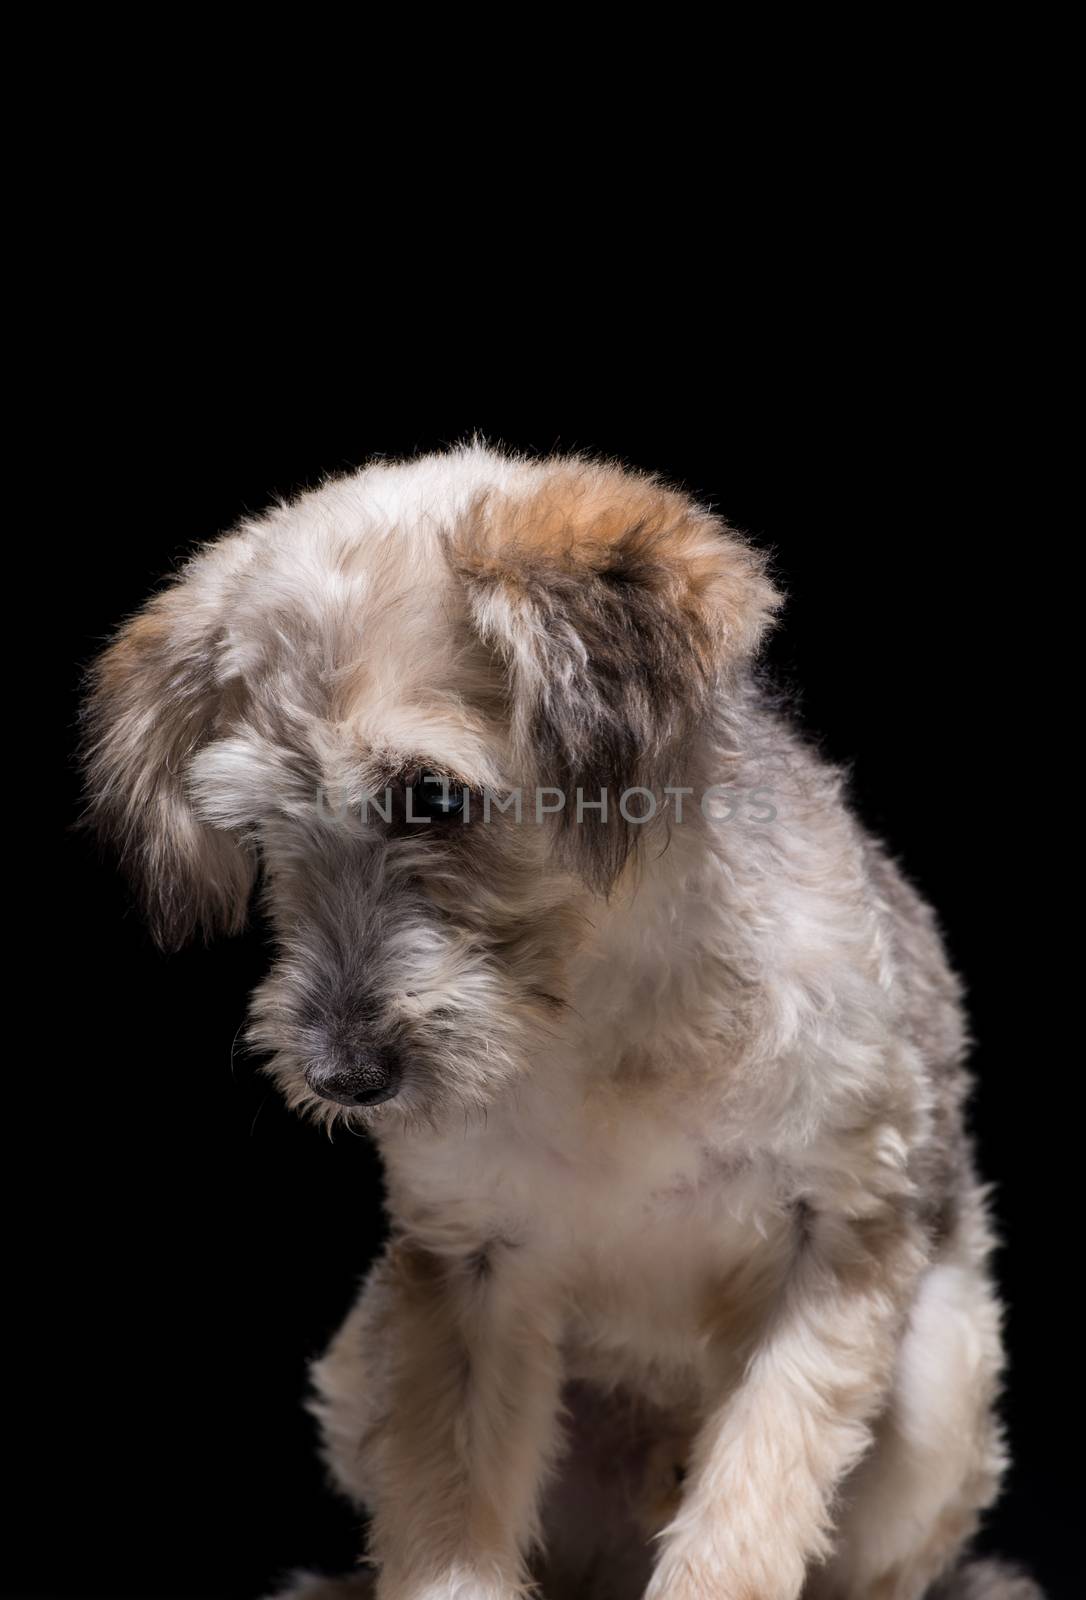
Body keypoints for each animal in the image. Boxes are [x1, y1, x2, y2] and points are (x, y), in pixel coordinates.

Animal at [82, 448, 1036, 1600]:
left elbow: (747, 1516)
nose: (341, 1075)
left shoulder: (839, 1243)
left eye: (432, 797)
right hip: (363, 1363)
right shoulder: (466, 1269)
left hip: (944, 1384)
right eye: (260, 825)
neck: (598, 1025)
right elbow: (446, 1526)